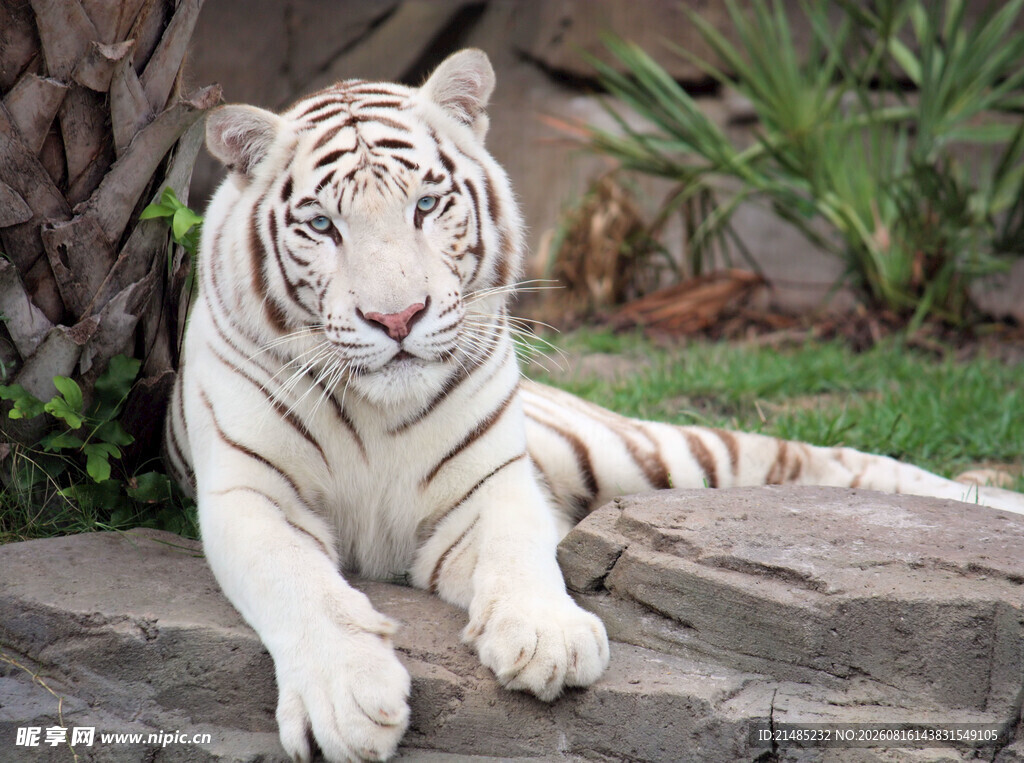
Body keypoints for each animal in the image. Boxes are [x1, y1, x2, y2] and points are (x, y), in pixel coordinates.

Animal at [165, 48, 1024, 762]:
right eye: (322, 225)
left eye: (427, 206)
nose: (398, 318)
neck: (379, 411)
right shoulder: (248, 494)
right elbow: (298, 583)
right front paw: (346, 699)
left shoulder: (492, 482)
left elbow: (519, 549)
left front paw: (547, 636)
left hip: (650, 456)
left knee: (831, 459)